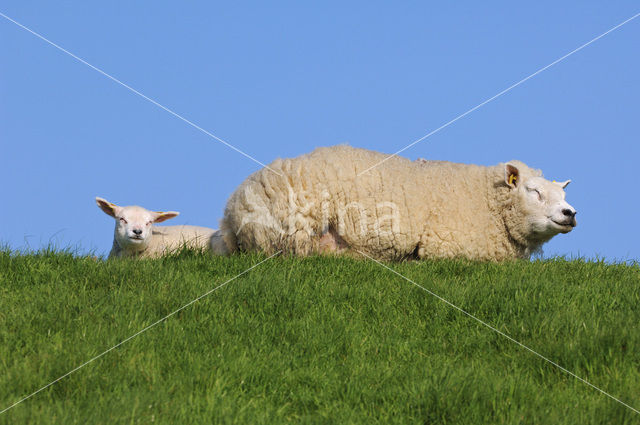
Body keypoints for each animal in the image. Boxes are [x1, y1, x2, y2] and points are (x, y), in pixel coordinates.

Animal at [218, 144, 576, 260]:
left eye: (563, 194)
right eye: (533, 191)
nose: (570, 213)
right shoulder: (449, 248)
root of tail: (232, 210)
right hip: (294, 229)